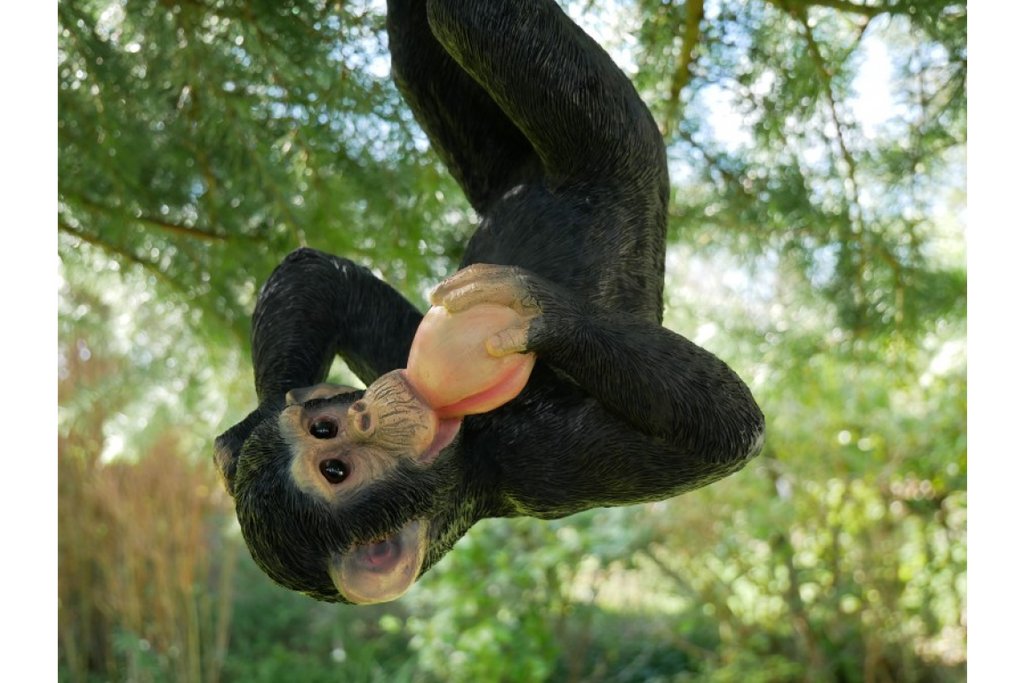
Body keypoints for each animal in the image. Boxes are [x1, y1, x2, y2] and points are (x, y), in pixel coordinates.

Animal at [214, 0, 765, 605]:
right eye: (335, 469)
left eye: (323, 429)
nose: (361, 414)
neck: (463, 446)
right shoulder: (540, 461)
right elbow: (724, 436)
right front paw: (538, 312)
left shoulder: (396, 360)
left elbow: (318, 277)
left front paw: (248, 430)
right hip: (616, 144)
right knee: (476, 25)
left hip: (502, 172)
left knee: (421, 54)